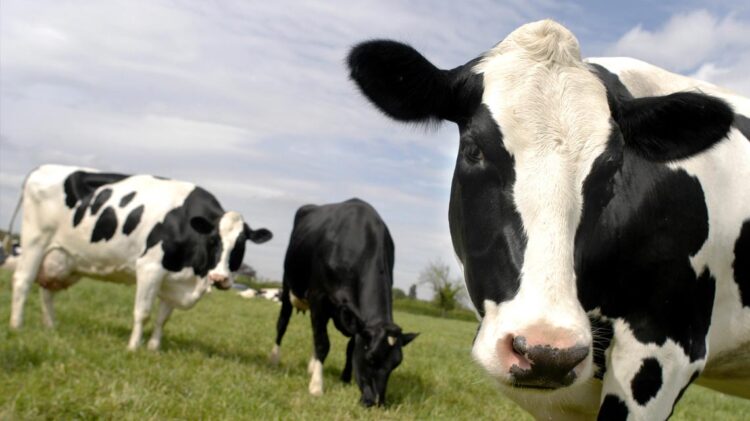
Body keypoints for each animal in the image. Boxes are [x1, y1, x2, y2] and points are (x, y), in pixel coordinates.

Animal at [8, 164, 272, 350]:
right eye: (213, 240)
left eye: (241, 244)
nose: (219, 278)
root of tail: (43, 168)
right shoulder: (150, 267)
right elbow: (143, 312)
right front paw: (134, 347)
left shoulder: (174, 279)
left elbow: (163, 318)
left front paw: (154, 347)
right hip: (35, 240)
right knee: (22, 281)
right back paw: (16, 326)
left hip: (62, 258)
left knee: (47, 291)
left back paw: (51, 327)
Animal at [269, 198, 417, 407]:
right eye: (371, 359)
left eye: (396, 364)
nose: (377, 402)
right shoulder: (318, 298)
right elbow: (323, 344)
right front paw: (316, 386)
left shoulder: (356, 319)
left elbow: (349, 347)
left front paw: (345, 378)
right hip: (287, 284)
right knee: (282, 323)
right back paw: (275, 358)